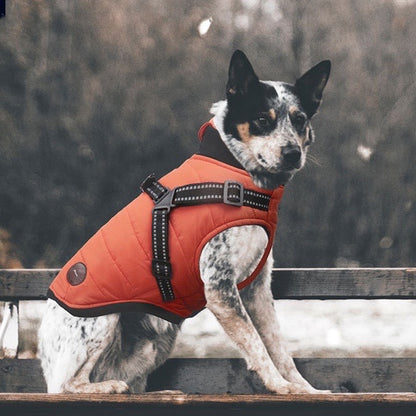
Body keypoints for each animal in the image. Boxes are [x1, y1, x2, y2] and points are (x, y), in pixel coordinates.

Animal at [39, 48, 332, 394]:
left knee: (133, 384)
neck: (236, 171)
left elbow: (279, 346)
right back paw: (107, 387)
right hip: (100, 322)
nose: (292, 154)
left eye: (300, 119)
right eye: (262, 119)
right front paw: (278, 385)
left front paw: (304, 388)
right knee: (69, 384)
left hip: (158, 340)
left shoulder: (258, 290)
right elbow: (257, 345)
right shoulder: (220, 287)